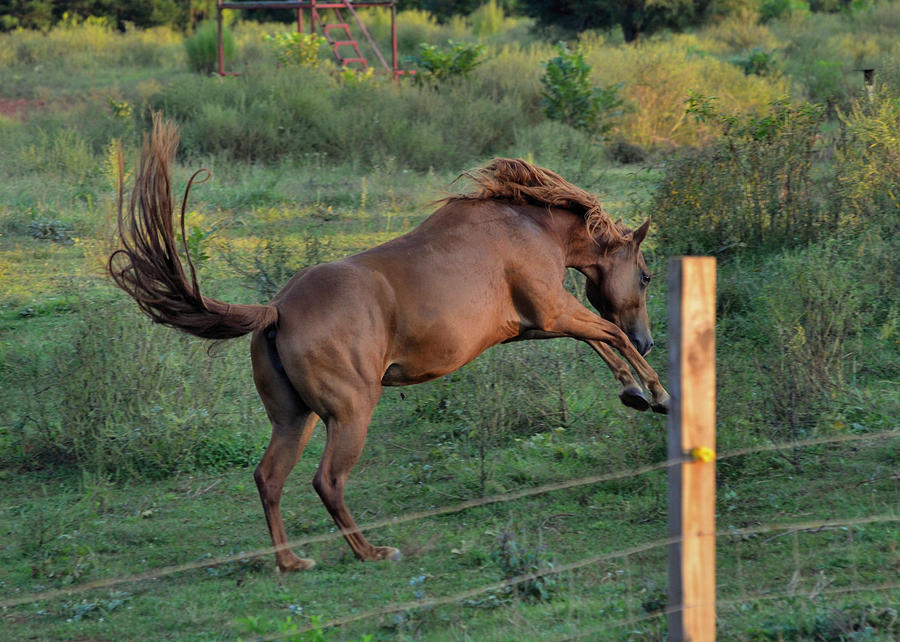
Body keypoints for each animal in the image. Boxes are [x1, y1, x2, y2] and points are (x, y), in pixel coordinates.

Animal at [107, 116, 668, 568]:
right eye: (644, 276)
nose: (649, 339)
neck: (526, 224)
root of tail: (278, 309)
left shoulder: (540, 322)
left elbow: (601, 343)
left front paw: (633, 391)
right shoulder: (553, 309)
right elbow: (609, 333)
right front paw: (657, 394)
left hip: (295, 419)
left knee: (269, 478)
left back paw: (292, 562)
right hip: (351, 413)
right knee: (326, 481)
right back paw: (373, 552)